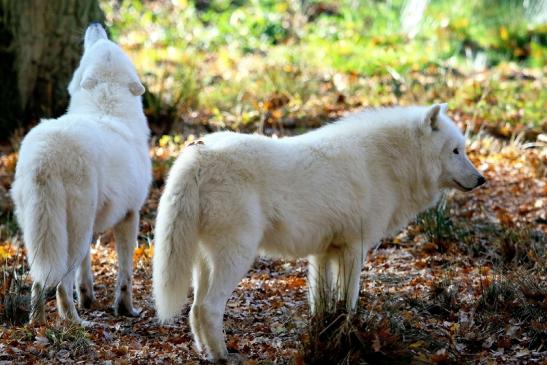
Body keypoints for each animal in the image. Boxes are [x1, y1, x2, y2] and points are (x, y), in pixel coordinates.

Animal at [11, 23, 152, 322]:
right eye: (100, 45)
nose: (97, 24)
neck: (106, 106)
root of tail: (47, 154)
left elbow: (85, 272)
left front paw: (88, 298)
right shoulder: (130, 216)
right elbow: (126, 273)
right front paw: (126, 309)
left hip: (40, 232)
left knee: (40, 280)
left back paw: (37, 323)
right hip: (76, 228)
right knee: (61, 284)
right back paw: (75, 322)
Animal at [152, 104, 486, 360]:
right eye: (455, 151)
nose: (481, 179)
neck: (387, 163)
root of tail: (197, 155)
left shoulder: (323, 253)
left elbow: (322, 303)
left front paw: (323, 336)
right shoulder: (353, 249)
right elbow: (349, 302)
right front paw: (349, 336)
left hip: (203, 263)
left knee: (195, 310)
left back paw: (207, 354)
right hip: (237, 257)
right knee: (209, 308)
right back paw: (224, 356)